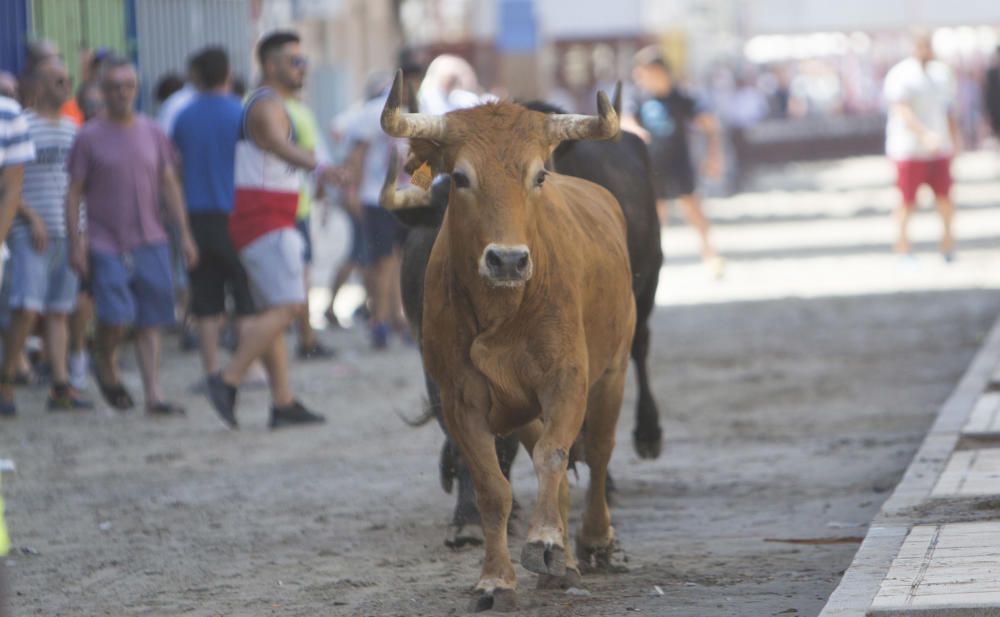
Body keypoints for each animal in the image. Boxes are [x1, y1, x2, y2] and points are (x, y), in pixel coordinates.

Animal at [378, 72, 636, 612]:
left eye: (537, 176)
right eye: (460, 177)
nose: (508, 260)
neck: (505, 312)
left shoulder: (567, 382)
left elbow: (556, 455)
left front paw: (546, 539)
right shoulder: (460, 399)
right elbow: (493, 486)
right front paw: (497, 579)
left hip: (614, 371)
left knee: (599, 451)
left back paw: (594, 542)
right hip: (523, 408)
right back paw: (563, 563)